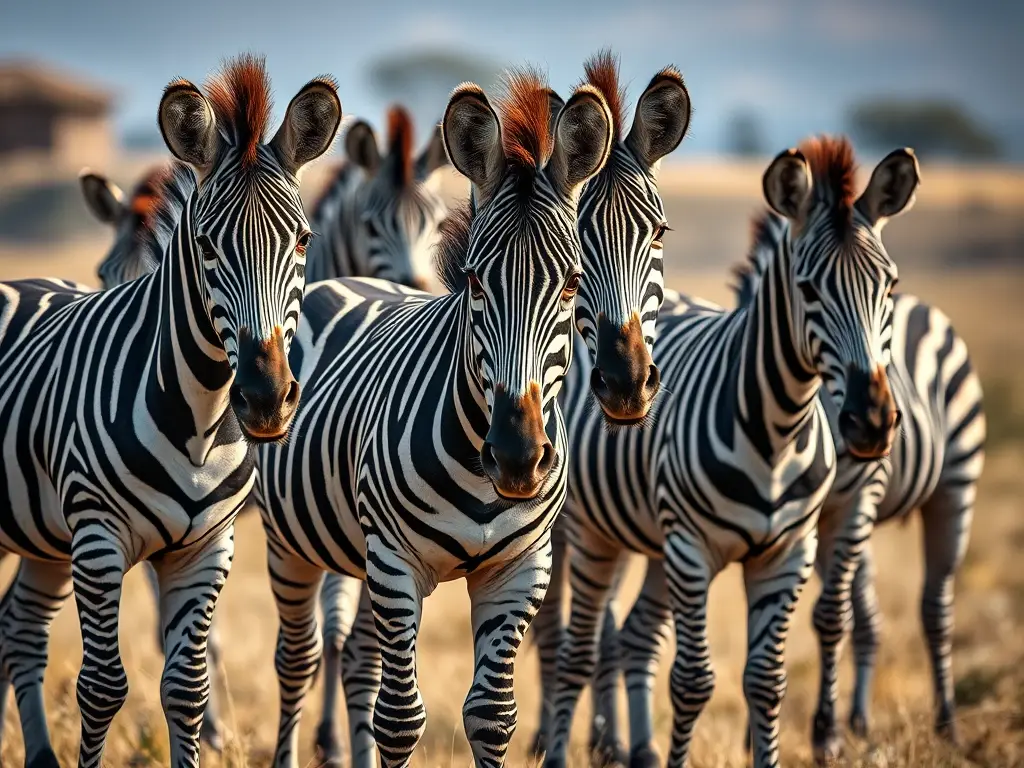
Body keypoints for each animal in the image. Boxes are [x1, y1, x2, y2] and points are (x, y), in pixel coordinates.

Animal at [0, 55, 341, 768]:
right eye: (207, 246)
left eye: (302, 241)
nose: (265, 398)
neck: (201, 422)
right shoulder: (97, 537)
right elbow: (102, 687)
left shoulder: (207, 547)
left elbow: (186, 686)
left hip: (43, 534)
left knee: (19, 625)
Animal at [541, 136, 921, 768]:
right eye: (809, 289)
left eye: (889, 286)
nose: (870, 421)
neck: (777, 430)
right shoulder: (692, 549)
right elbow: (692, 682)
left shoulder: (788, 552)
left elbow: (766, 680)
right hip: (595, 534)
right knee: (577, 650)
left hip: (650, 540)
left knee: (633, 637)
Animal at [732, 225, 986, 762]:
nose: (868, 429)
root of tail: (918, 305)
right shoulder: (802, 523)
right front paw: (754, 736)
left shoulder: (850, 501)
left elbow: (830, 617)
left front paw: (823, 735)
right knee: (868, 617)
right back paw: (862, 721)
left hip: (955, 485)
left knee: (934, 607)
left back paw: (947, 726)